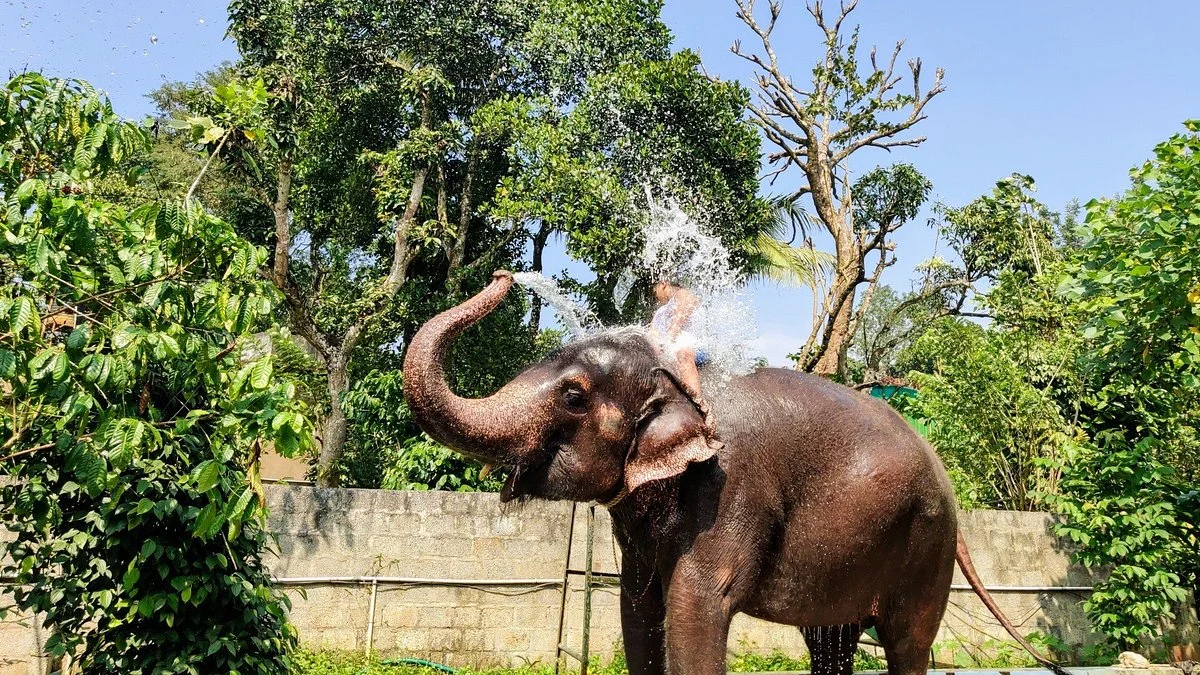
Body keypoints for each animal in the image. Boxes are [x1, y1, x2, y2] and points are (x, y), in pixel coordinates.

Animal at [402, 271, 1067, 675]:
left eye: (572, 395)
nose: (502, 277)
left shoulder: (734, 492)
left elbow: (697, 604)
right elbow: (639, 609)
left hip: (926, 545)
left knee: (906, 642)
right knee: (831, 640)